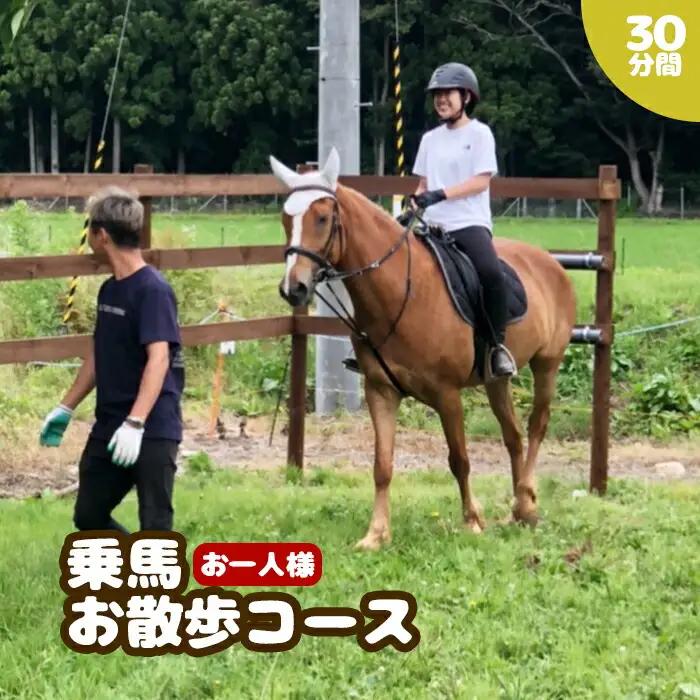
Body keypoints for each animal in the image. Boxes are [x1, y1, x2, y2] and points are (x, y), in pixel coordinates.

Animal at [270, 148, 576, 551]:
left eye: (322, 218)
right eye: (286, 218)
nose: (294, 289)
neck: (402, 290)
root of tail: (550, 262)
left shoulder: (447, 394)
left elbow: (459, 458)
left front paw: (472, 521)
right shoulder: (380, 391)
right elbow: (382, 465)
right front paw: (376, 534)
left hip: (547, 364)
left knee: (537, 425)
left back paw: (525, 500)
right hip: (497, 380)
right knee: (513, 435)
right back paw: (519, 510)